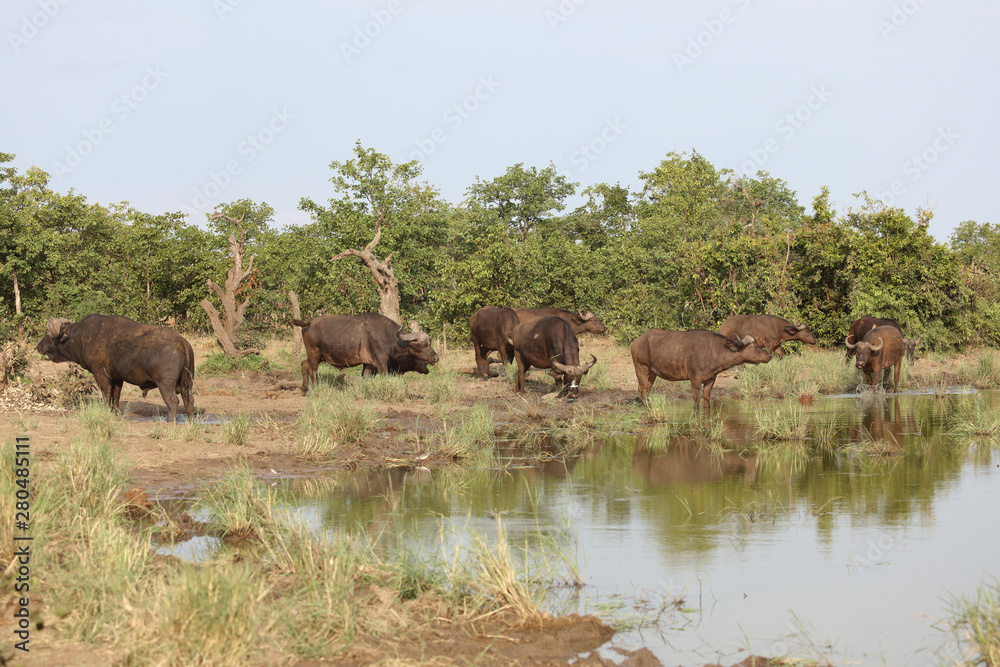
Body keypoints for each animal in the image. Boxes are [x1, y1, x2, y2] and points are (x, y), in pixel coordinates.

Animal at [36, 314, 195, 423]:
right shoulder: (118, 378)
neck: (82, 336)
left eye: (48, 335)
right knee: (189, 402)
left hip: (165, 385)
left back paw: (169, 422)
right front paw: (115, 413)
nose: (38, 346)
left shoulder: (100, 375)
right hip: (187, 384)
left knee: (173, 402)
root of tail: (181, 342)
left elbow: (106, 395)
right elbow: (116, 396)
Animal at [293, 314, 439, 394]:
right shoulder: (381, 364)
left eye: (430, 342)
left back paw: (304, 388)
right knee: (313, 371)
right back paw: (314, 388)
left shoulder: (369, 364)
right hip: (314, 354)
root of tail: (309, 323)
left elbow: (366, 377)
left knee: (304, 364)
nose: (435, 358)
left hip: (319, 356)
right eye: (419, 346)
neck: (386, 336)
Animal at [630, 329, 771, 408]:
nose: (769, 355)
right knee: (642, 389)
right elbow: (696, 400)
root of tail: (636, 341)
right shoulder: (695, 379)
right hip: (641, 369)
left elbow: (707, 398)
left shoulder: (711, 379)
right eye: (755, 346)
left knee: (647, 390)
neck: (714, 351)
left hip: (651, 373)